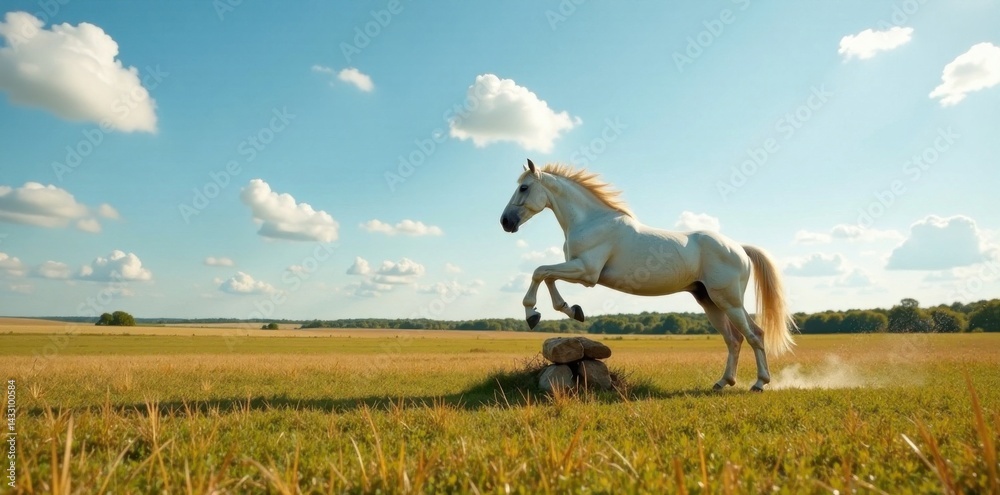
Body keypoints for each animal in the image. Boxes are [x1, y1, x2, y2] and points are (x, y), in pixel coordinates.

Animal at [499, 159, 796, 391]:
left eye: (524, 187)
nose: (505, 222)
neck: (592, 221)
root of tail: (740, 249)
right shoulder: (577, 268)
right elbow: (548, 277)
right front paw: (571, 310)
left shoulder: (586, 271)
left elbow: (540, 272)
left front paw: (533, 314)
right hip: (710, 301)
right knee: (735, 339)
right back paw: (723, 383)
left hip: (728, 300)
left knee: (754, 335)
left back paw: (759, 384)